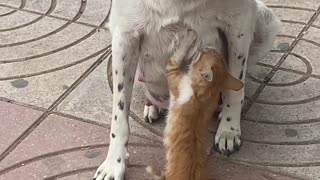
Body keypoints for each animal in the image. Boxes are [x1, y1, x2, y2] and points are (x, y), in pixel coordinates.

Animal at [147, 28, 242, 179]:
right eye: (216, 54)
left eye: (204, 53)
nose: (209, 46)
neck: (205, 94)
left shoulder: (173, 73)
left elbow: (176, 57)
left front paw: (187, 38)